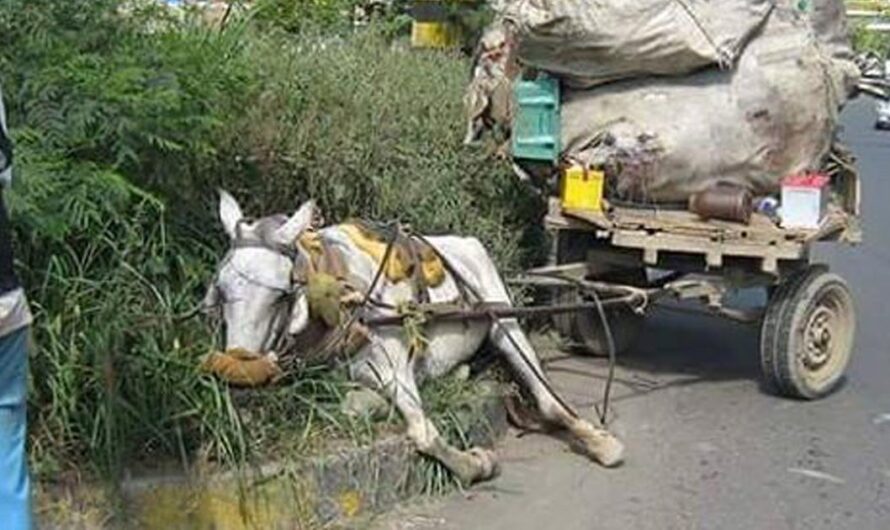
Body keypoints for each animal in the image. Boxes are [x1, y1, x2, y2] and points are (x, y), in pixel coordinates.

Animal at [206, 191, 624, 482]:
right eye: (221, 290)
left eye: (281, 294)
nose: (235, 372)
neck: (339, 294)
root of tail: (467, 241)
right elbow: (353, 406)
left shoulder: (395, 367)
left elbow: (423, 432)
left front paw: (475, 463)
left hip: (504, 321)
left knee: (547, 396)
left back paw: (600, 442)